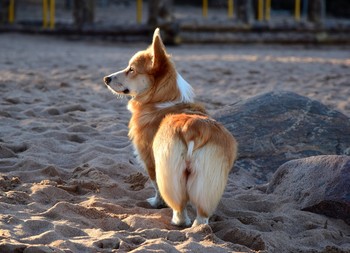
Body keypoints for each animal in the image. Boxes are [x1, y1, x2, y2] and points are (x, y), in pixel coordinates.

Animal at [102, 28, 237, 226]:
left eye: (131, 70)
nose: (106, 78)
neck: (162, 99)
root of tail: (193, 130)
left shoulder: (149, 159)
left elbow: (155, 186)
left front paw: (155, 203)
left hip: (168, 170)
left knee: (178, 205)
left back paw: (177, 221)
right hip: (208, 179)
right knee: (202, 215)